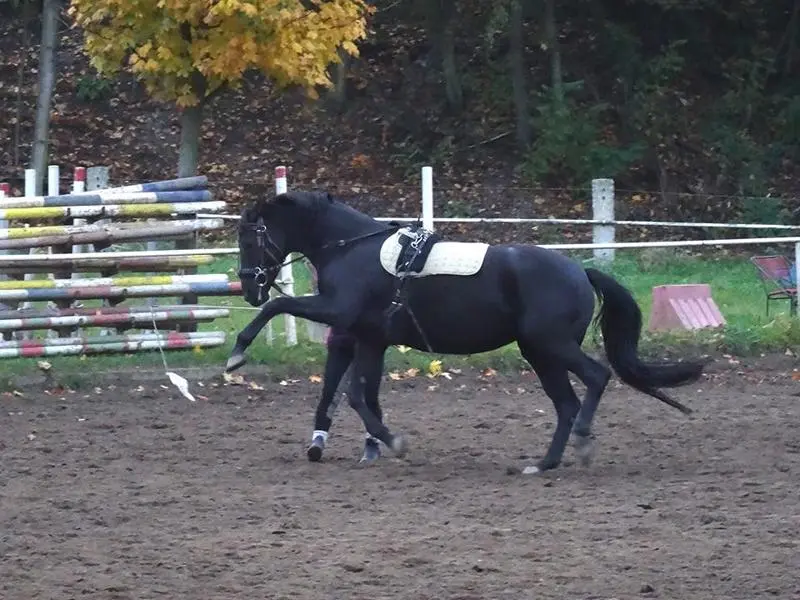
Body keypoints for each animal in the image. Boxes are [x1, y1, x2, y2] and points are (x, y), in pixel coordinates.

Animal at [228, 190, 704, 474]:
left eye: (249, 239)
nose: (249, 287)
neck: (352, 249)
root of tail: (579, 271)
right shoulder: (369, 339)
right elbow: (359, 396)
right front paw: (387, 441)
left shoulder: (339, 313)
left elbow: (279, 305)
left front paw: (238, 352)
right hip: (538, 352)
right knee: (566, 402)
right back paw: (544, 463)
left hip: (549, 345)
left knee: (595, 378)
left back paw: (582, 443)